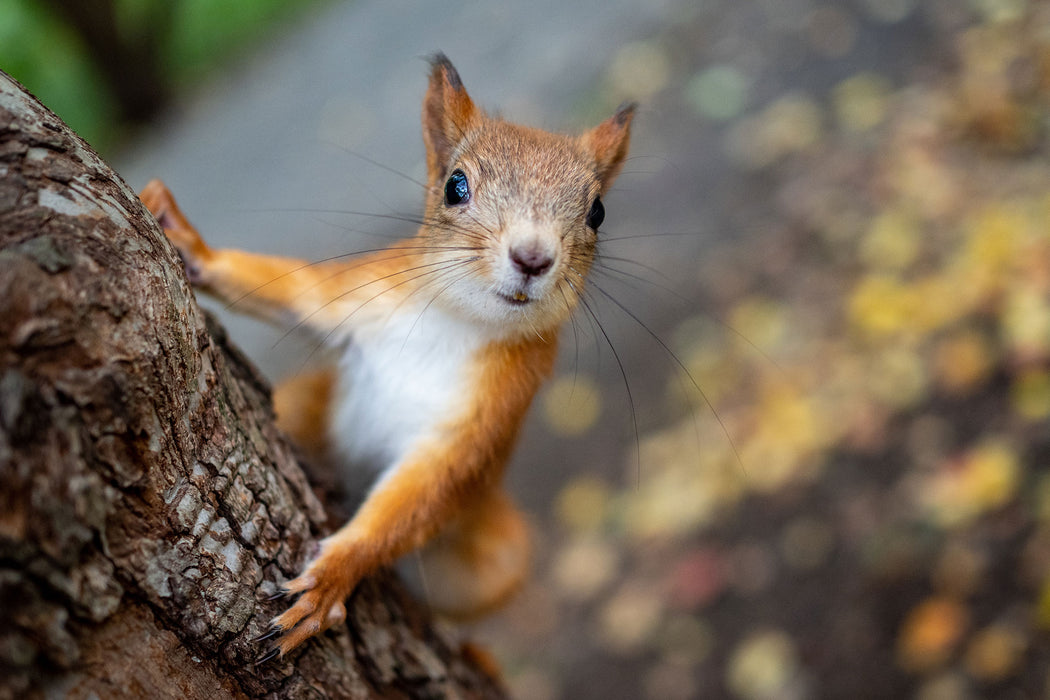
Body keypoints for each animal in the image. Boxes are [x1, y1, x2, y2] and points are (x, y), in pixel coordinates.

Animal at [138, 53, 630, 659]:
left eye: (598, 211)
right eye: (455, 185)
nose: (533, 257)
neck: (456, 323)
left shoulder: (489, 416)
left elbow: (422, 495)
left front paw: (332, 578)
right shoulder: (362, 293)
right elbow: (295, 292)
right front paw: (188, 242)